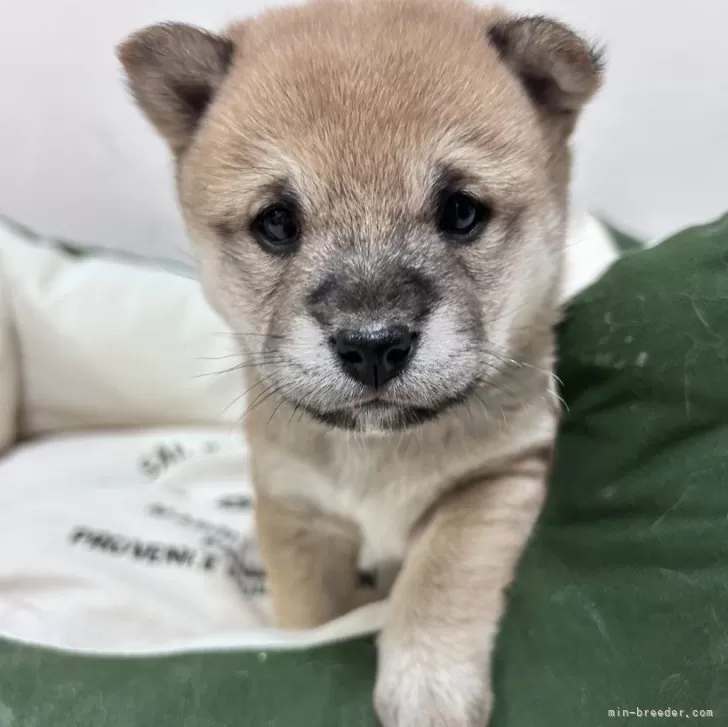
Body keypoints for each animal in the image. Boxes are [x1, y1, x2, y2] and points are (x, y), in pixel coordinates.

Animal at [119, 2, 604, 724]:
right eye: (276, 222)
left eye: (462, 211)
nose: (373, 344)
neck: (380, 453)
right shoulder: (298, 512)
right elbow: (310, 616)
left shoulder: (500, 476)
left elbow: (443, 571)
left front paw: (427, 683)